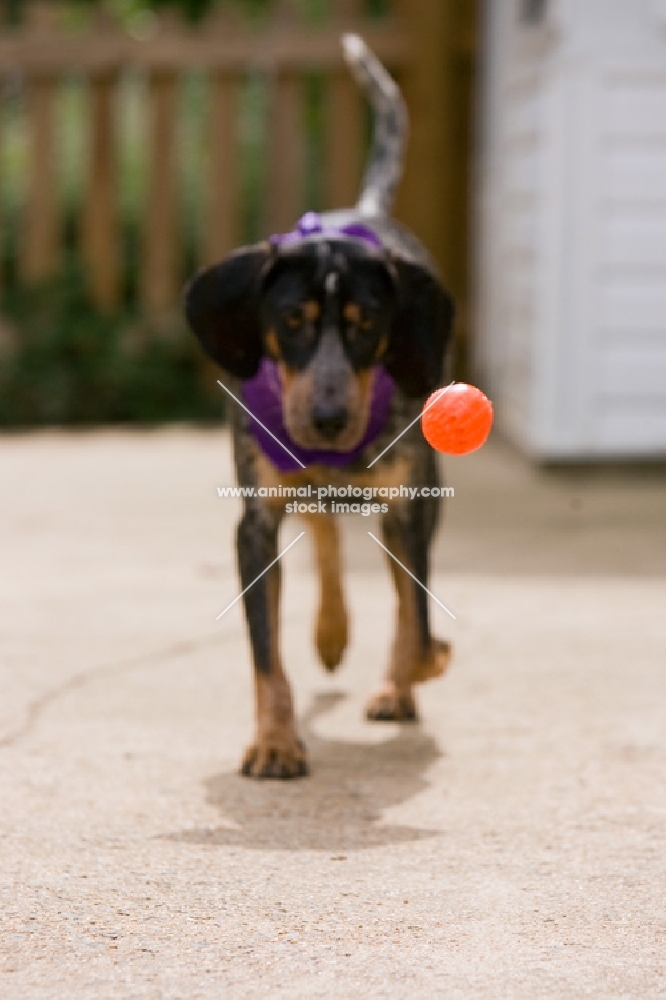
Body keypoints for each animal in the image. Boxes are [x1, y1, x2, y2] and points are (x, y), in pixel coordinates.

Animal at [187, 35, 456, 776]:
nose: (330, 421)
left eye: (368, 324)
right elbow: (265, 654)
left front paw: (412, 671)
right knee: (324, 528)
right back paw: (331, 630)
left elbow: (415, 619)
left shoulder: (410, 503)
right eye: (292, 321)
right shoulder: (253, 524)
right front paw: (276, 740)